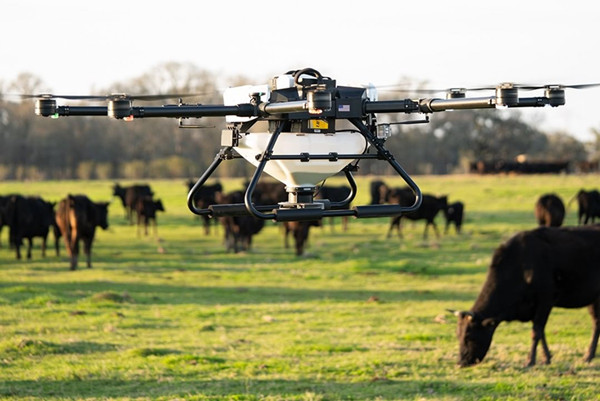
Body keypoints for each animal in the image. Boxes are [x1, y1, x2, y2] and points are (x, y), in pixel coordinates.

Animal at [452, 225, 600, 366]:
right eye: (458, 335)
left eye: (469, 336)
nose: (461, 363)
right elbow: (541, 333)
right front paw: (546, 358)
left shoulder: (545, 301)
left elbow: (536, 332)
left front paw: (530, 361)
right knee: (596, 323)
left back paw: (588, 356)